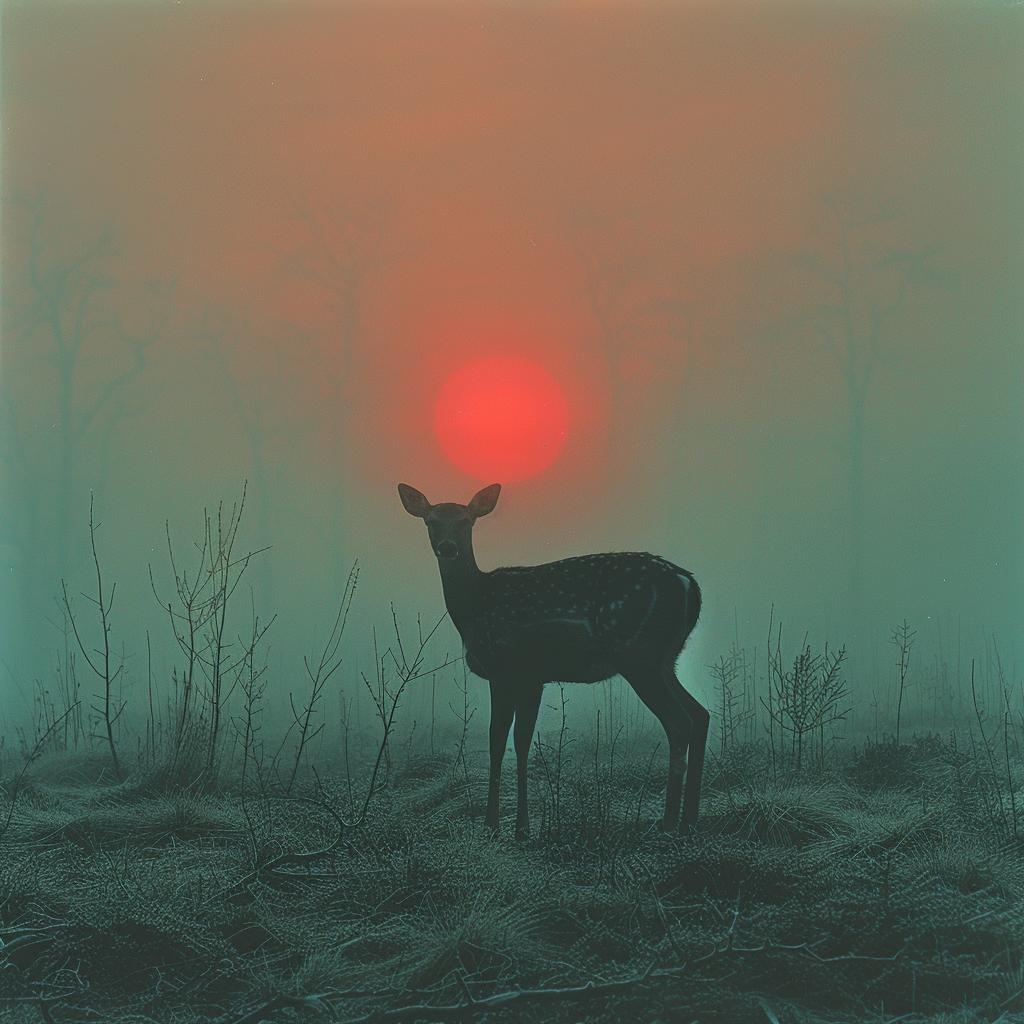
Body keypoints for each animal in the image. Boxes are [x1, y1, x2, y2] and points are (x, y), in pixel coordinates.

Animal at [398, 481, 707, 837]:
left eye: (466, 522)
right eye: (431, 521)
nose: (447, 547)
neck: (474, 609)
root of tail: (689, 584)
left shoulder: (510, 669)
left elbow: (503, 740)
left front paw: (501, 825)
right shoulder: (526, 678)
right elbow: (514, 741)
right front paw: (515, 826)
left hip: (638, 653)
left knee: (679, 722)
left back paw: (668, 823)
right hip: (665, 659)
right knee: (700, 714)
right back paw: (690, 819)